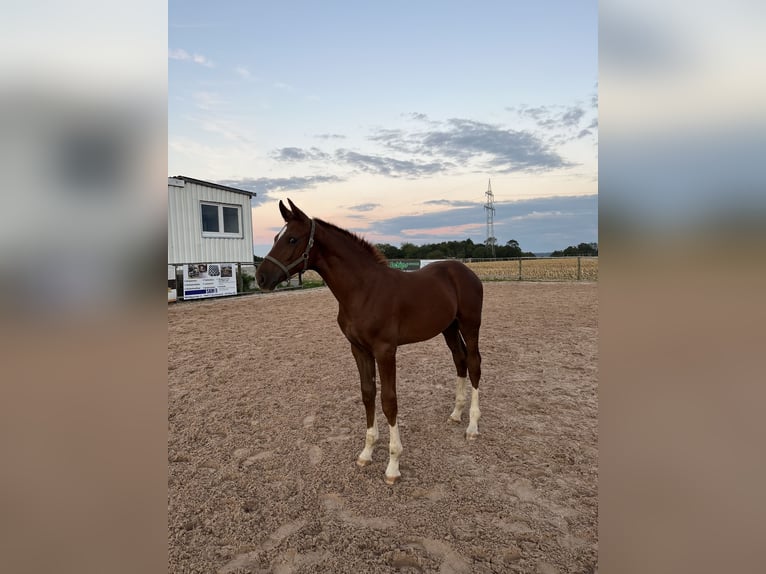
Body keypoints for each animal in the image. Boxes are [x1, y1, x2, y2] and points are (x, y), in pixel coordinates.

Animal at [258, 200, 486, 484]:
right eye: (275, 237)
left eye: (292, 238)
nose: (261, 277)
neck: (364, 290)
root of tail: (466, 271)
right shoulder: (359, 349)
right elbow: (368, 394)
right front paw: (366, 452)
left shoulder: (385, 350)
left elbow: (389, 401)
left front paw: (393, 465)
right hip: (449, 329)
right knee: (460, 360)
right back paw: (456, 414)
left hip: (470, 325)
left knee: (474, 363)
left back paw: (472, 426)